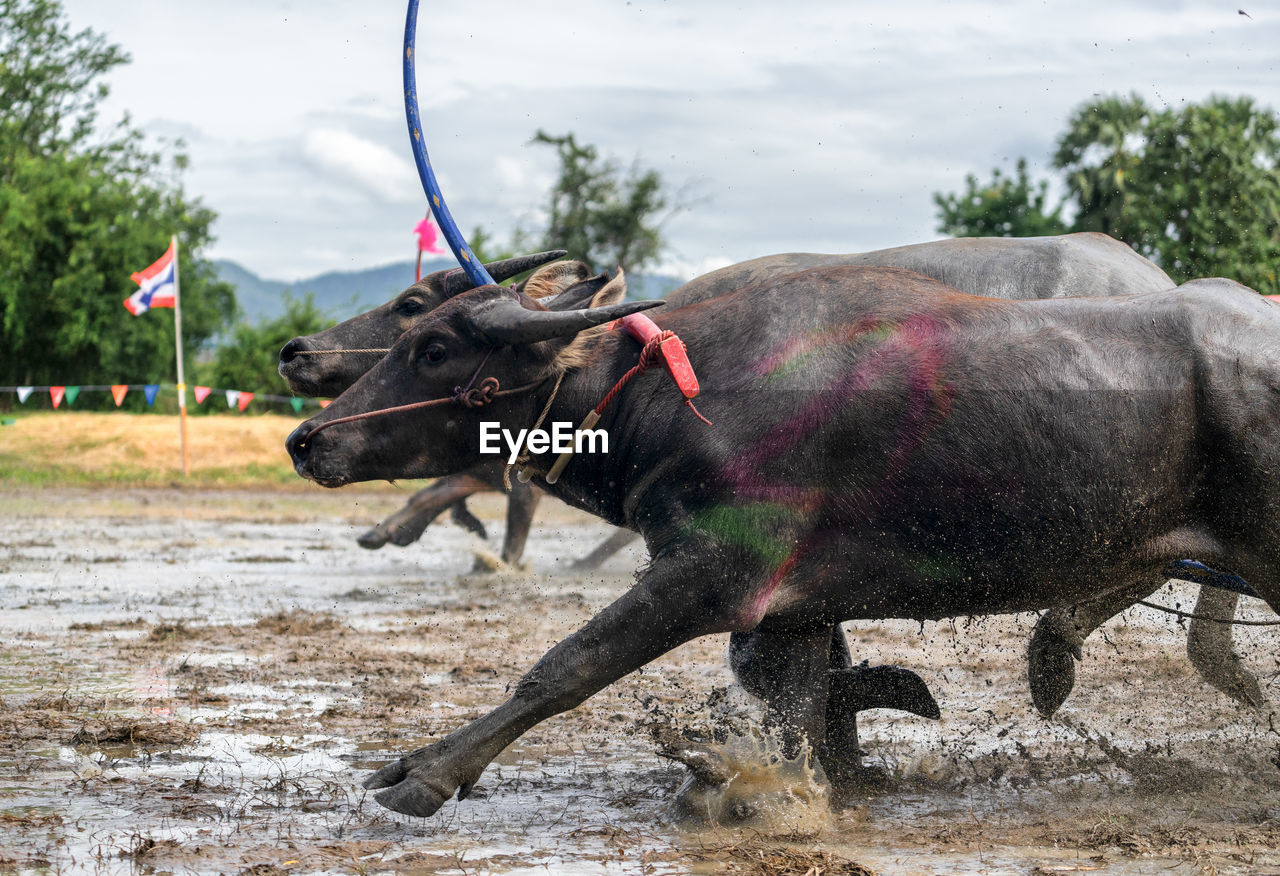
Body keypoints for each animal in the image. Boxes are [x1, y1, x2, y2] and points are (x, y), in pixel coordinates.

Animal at [288, 266, 1280, 814]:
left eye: (433, 345)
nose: (306, 438)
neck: (675, 392)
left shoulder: (713, 574)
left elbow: (566, 666)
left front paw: (424, 774)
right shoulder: (791, 612)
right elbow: (795, 709)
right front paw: (766, 788)